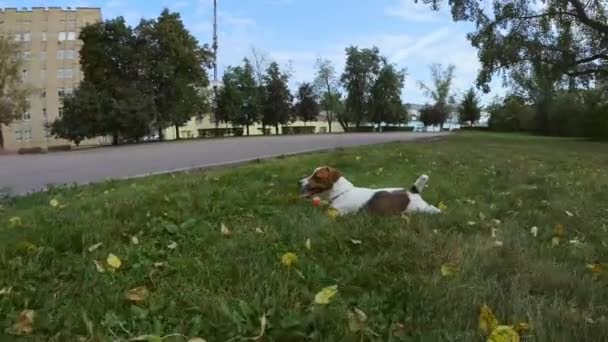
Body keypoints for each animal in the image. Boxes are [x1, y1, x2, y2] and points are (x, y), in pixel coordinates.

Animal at [300, 166, 442, 216]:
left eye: (317, 176)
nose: (299, 182)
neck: (341, 193)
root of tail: (412, 191)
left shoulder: (337, 213)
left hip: (421, 208)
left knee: (433, 209)